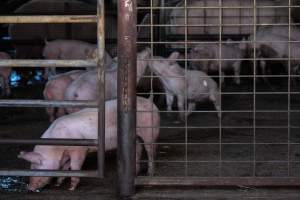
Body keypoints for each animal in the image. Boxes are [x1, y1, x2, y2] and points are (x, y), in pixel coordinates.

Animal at [17, 96, 161, 191]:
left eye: (35, 167)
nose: (30, 188)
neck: (57, 146)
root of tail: (150, 102)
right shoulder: (67, 153)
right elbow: (65, 166)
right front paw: (58, 183)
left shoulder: (79, 149)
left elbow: (75, 166)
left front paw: (71, 188)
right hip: (136, 136)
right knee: (138, 149)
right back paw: (136, 172)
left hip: (150, 130)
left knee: (151, 151)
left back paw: (149, 174)